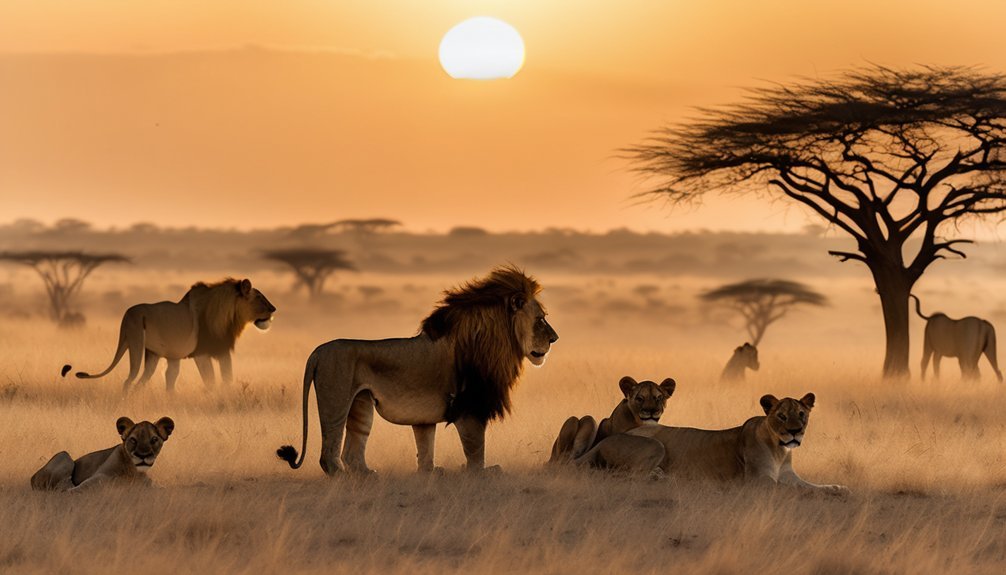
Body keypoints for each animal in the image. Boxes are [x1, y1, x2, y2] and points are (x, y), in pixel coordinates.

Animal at [31, 416, 174, 491]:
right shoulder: (98, 476)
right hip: (64, 455)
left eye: (154, 440)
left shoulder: (148, 483)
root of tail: (32, 479)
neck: (133, 471)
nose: (143, 455)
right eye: (133, 440)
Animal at [64, 278, 276, 393]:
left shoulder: (222, 351)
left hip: (156, 354)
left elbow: (227, 379)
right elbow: (210, 381)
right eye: (259, 297)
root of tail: (127, 313)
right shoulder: (201, 354)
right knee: (129, 380)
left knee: (148, 381)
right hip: (136, 342)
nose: (274, 309)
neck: (229, 317)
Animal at [277, 265, 558, 474]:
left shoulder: (425, 418)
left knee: (352, 451)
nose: (555, 339)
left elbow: (425, 449)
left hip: (361, 403)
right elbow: (476, 448)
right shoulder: (469, 406)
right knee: (329, 451)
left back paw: (368, 475)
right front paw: (481, 472)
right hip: (336, 398)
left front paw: (431, 472)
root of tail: (317, 351)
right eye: (541, 319)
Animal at [567, 393, 848, 493]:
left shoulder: (789, 475)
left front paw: (837, 487)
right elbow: (795, 489)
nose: (795, 432)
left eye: (801, 414)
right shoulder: (757, 481)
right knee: (623, 476)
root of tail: (605, 439)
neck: (780, 450)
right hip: (655, 445)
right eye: (781, 416)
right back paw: (663, 478)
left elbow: (811, 484)